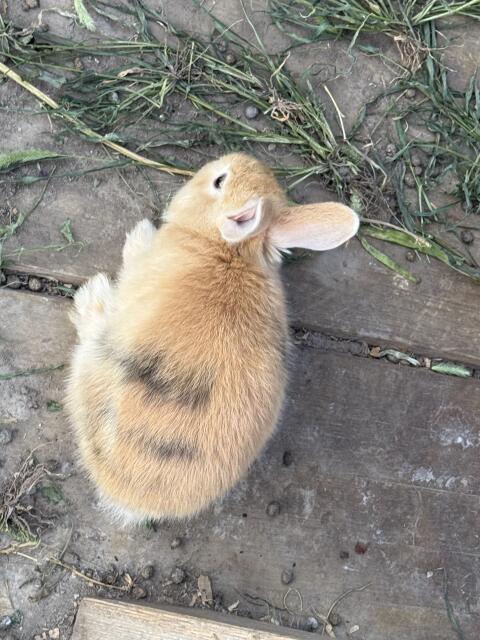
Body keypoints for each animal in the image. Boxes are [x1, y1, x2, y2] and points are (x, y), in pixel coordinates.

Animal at [66, 153, 359, 524]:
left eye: (220, 181)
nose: (235, 158)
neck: (227, 249)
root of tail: (128, 497)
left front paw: (139, 234)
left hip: (95, 363)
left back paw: (91, 297)